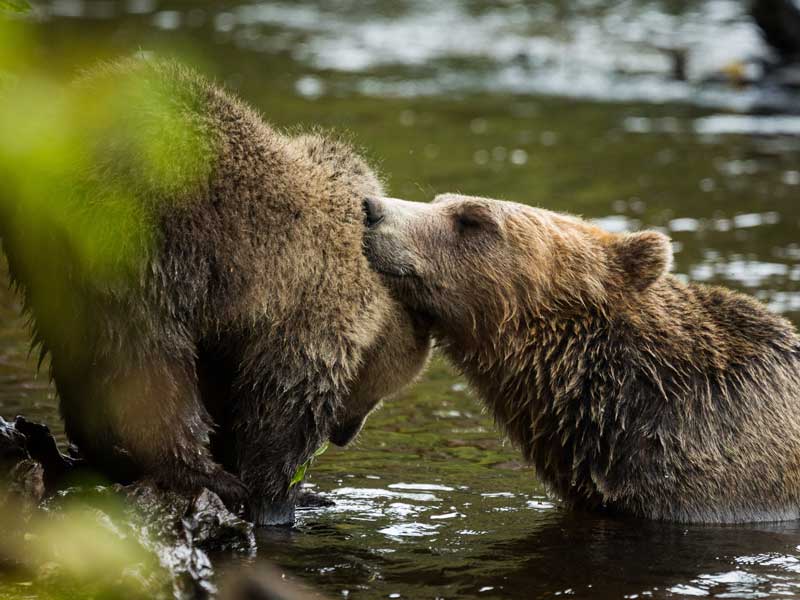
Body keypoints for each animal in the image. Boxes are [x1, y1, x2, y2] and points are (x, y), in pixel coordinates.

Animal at [0, 58, 432, 524]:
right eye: (380, 390)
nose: (346, 435)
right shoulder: (310, 299)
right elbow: (282, 402)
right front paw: (276, 497)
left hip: (55, 261)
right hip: (135, 242)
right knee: (145, 360)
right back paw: (201, 474)